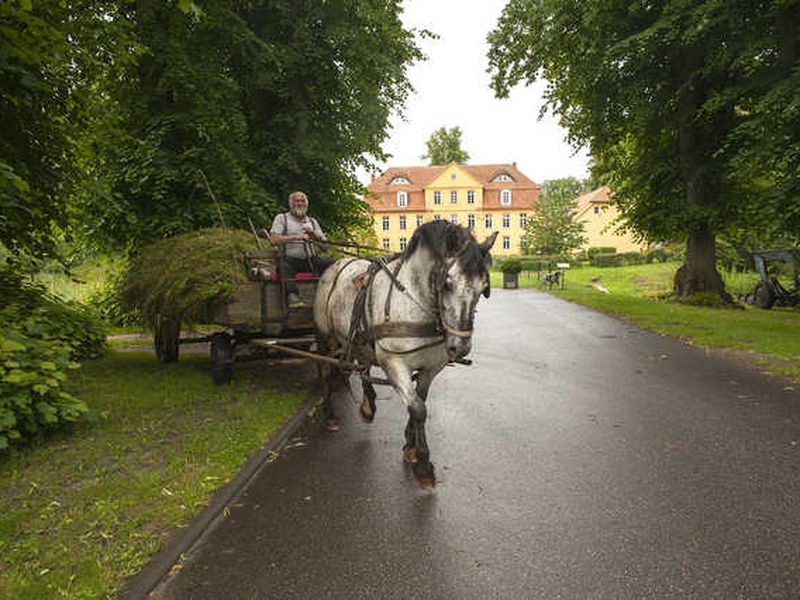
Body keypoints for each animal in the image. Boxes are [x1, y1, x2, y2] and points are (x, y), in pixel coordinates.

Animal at [310, 220, 494, 488]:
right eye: (447, 283)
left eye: (483, 287)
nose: (460, 347)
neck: (414, 301)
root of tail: (336, 264)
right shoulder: (394, 363)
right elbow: (418, 409)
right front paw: (424, 465)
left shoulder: (430, 368)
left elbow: (419, 402)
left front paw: (410, 446)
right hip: (326, 337)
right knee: (324, 369)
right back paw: (331, 415)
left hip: (360, 338)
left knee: (363, 366)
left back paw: (368, 406)